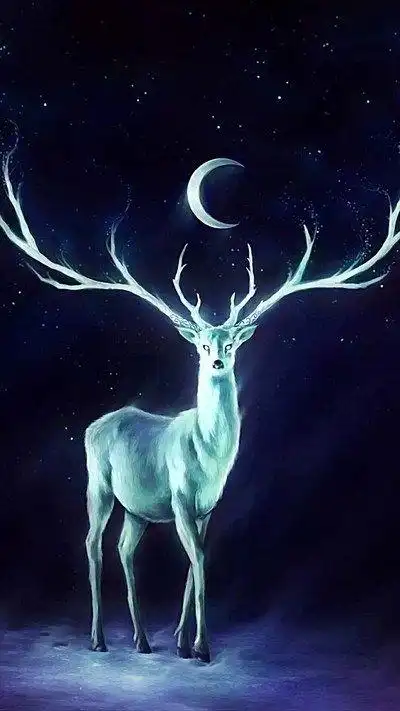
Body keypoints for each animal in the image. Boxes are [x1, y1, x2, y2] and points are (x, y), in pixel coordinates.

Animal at [1, 143, 400, 663]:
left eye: (231, 343)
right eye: (202, 345)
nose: (215, 361)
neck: (209, 457)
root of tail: (94, 425)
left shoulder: (208, 506)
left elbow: (195, 566)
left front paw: (182, 642)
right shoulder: (180, 497)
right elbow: (202, 565)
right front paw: (203, 647)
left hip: (137, 507)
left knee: (125, 549)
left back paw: (142, 639)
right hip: (98, 483)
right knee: (91, 544)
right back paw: (99, 638)